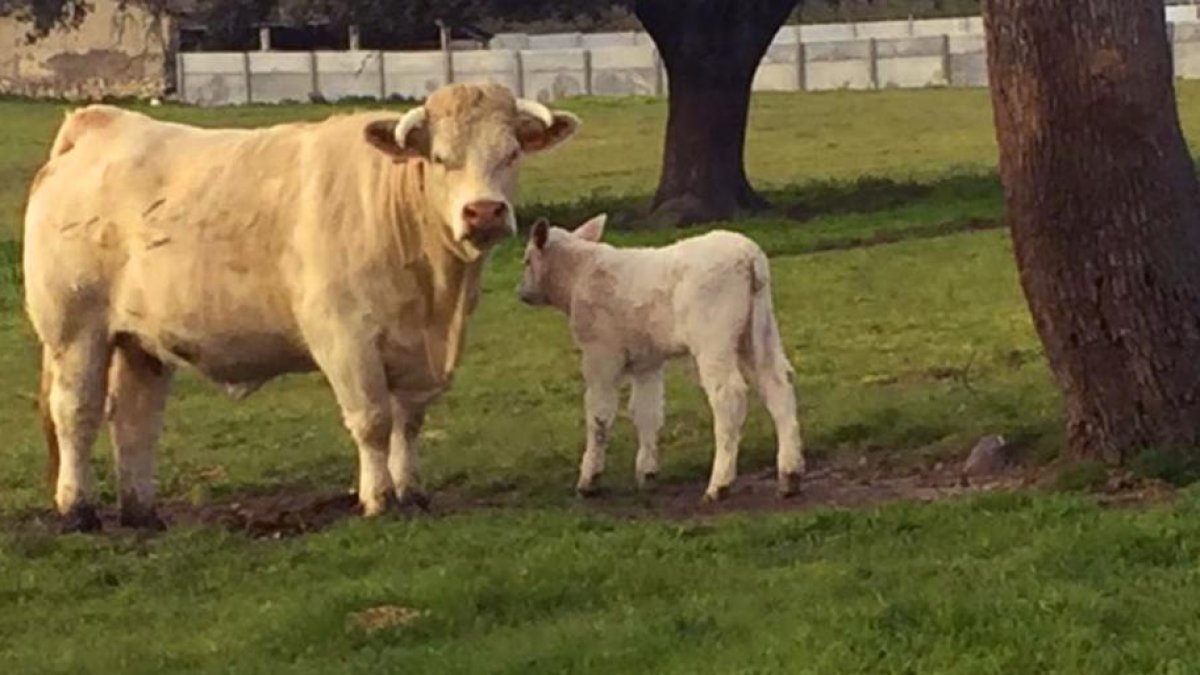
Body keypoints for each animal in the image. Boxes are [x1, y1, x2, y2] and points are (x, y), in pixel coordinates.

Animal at [23, 83, 580, 532]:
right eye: (441, 157)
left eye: (512, 153)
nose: (484, 212)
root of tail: (101, 123)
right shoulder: (344, 338)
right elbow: (373, 420)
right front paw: (378, 499)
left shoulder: (416, 351)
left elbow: (409, 421)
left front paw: (412, 492)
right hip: (75, 332)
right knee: (76, 412)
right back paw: (78, 509)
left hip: (142, 343)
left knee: (136, 421)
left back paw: (143, 514)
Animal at [516, 214, 806, 501]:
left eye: (527, 259)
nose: (522, 293)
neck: (578, 275)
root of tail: (748, 254)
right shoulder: (648, 360)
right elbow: (646, 411)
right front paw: (647, 472)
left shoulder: (600, 355)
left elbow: (598, 415)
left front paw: (589, 480)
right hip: (758, 330)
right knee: (777, 383)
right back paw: (789, 475)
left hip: (713, 339)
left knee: (728, 395)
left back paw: (719, 484)